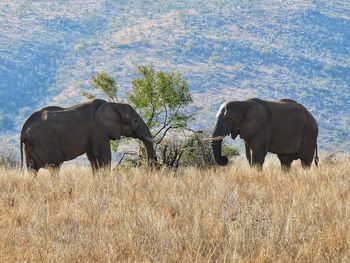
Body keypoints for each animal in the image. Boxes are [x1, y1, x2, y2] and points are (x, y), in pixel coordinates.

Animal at [19, 98, 155, 173]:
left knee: (32, 170)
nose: (149, 170)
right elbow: (104, 157)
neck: (113, 104)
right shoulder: (98, 131)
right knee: (54, 168)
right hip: (44, 143)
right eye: (135, 121)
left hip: (31, 147)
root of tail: (23, 131)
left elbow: (93, 160)